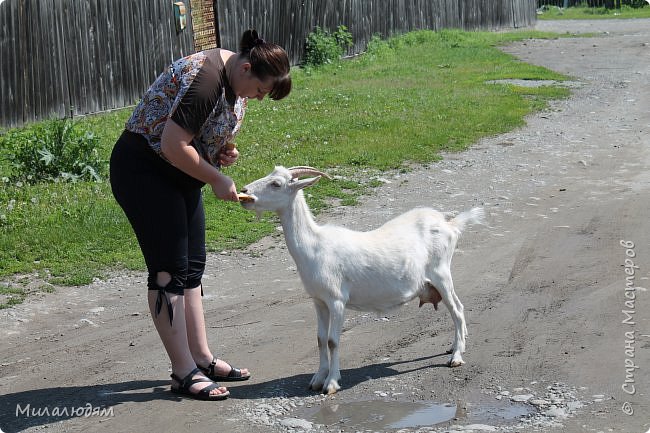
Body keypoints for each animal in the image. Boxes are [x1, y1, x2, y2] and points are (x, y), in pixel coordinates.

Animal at [240, 166, 484, 394]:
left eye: (276, 184)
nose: (244, 192)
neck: (314, 246)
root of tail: (450, 225)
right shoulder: (318, 301)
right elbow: (320, 339)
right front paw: (317, 379)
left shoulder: (337, 300)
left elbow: (333, 341)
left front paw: (331, 383)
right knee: (457, 308)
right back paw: (455, 346)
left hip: (441, 274)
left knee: (457, 310)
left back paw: (456, 357)